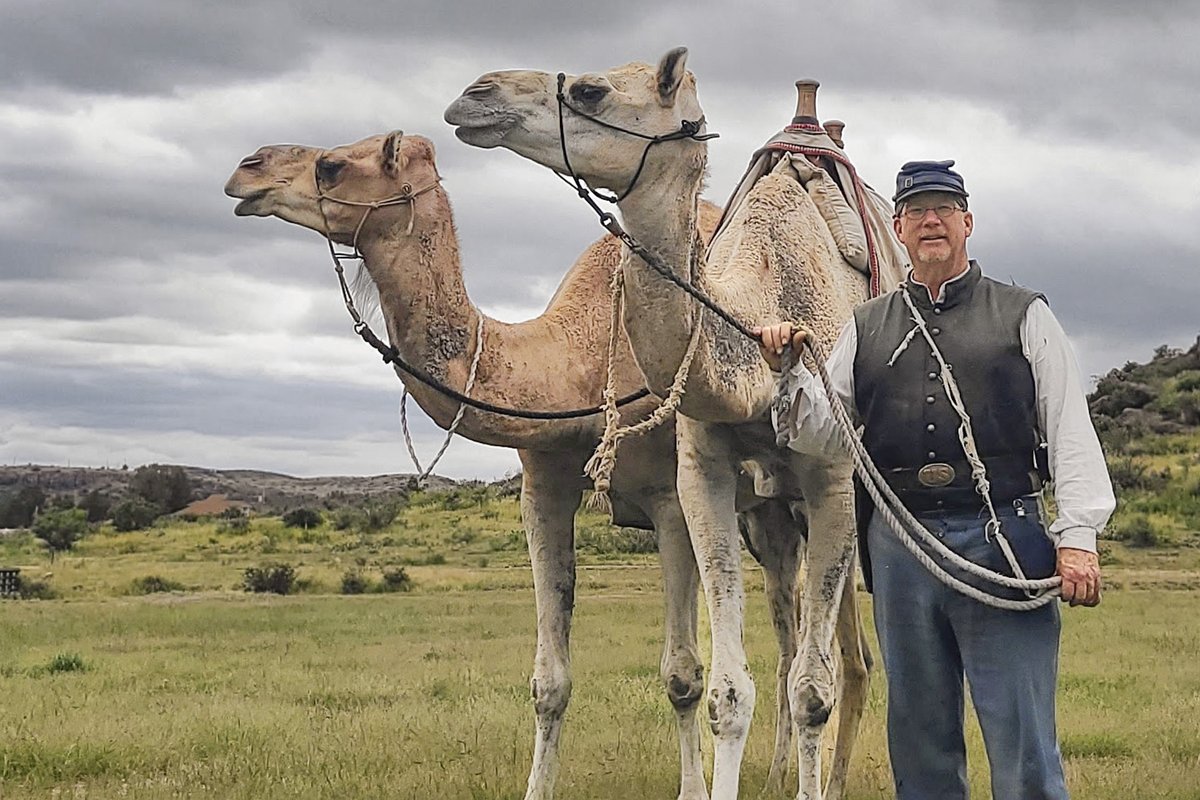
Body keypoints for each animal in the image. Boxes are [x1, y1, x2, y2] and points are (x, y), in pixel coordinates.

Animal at [223, 131, 809, 800]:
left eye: (332, 165)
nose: (246, 170)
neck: (580, 363)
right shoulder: (543, 485)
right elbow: (549, 681)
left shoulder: (668, 498)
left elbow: (681, 675)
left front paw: (692, 786)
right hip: (761, 515)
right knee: (787, 625)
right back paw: (775, 774)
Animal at [446, 49, 903, 800]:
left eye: (591, 90)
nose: (473, 94)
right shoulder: (703, 471)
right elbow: (728, 692)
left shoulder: (833, 480)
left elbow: (814, 690)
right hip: (775, 519)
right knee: (821, 649)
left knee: (857, 657)